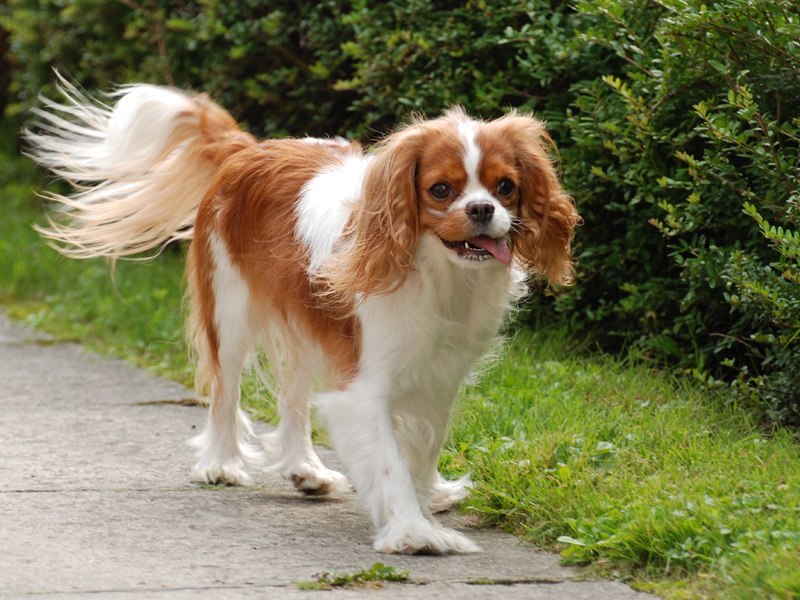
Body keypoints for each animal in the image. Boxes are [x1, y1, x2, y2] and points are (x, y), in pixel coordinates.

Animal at [26, 75, 578, 554]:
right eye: (441, 190)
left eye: (505, 187)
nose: (483, 210)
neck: (436, 271)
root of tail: (248, 149)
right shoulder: (365, 385)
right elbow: (388, 463)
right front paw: (413, 532)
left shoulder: (439, 375)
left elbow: (423, 450)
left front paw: (425, 501)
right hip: (230, 312)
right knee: (225, 392)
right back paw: (221, 463)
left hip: (302, 321)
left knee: (292, 398)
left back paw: (304, 468)